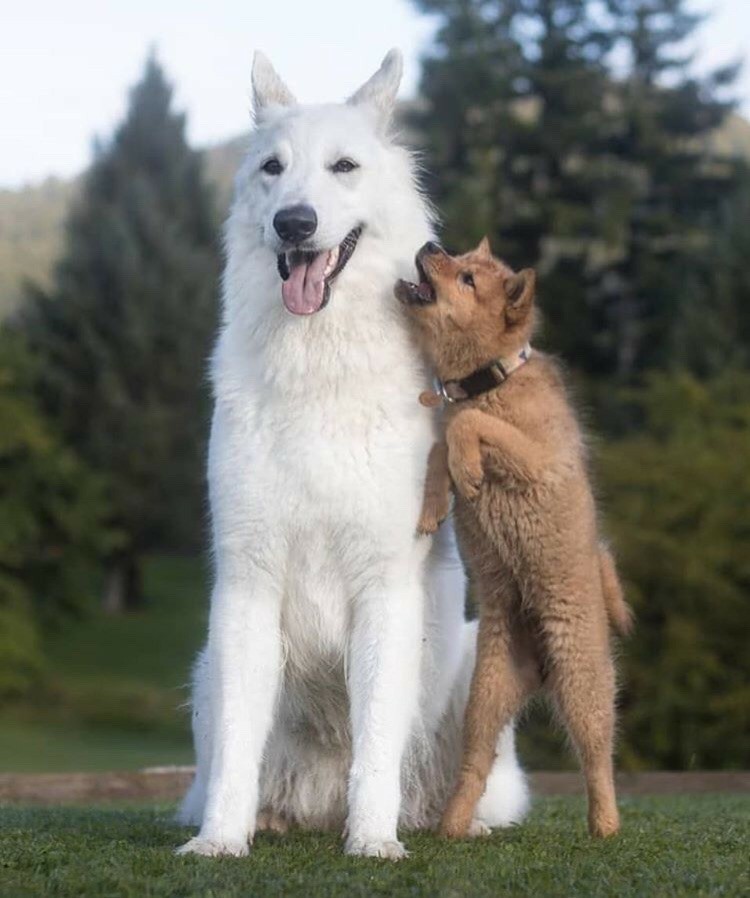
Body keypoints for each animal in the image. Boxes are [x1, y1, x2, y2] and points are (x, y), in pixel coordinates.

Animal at [178, 50, 528, 860]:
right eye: (273, 168)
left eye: (343, 167)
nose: (294, 223)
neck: (319, 370)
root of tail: (317, 803)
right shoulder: (246, 585)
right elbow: (238, 745)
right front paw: (219, 843)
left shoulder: (385, 589)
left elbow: (375, 746)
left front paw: (372, 841)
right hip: (207, 663)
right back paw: (267, 818)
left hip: (476, 662)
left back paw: (438, 822)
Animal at [396, 234, 632, 836]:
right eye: (457, 256)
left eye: (468, 278)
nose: (429, 244)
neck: (492, 379)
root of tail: (541, 669)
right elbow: (440, 445)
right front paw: (436, 504)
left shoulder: (535, 458)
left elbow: (465, 426)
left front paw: (468, 469)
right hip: (486, 697)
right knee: (474, 766)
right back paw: (452, 827)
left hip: (582, 679)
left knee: (597, 755)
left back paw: (605, 825)